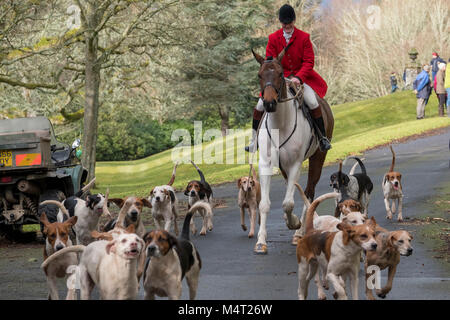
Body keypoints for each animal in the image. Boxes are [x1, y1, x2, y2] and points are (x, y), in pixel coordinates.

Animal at [253, 47, 334, 254]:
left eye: (281, 74)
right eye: (259, 75)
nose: (269, 103)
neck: (280, 123)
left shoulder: (296, 164)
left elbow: (288, 203)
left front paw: (294, 224)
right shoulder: (266, 164)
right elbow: (264, 204)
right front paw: (261, 241)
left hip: (318, 157)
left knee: (309, 192)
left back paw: (299, 232)